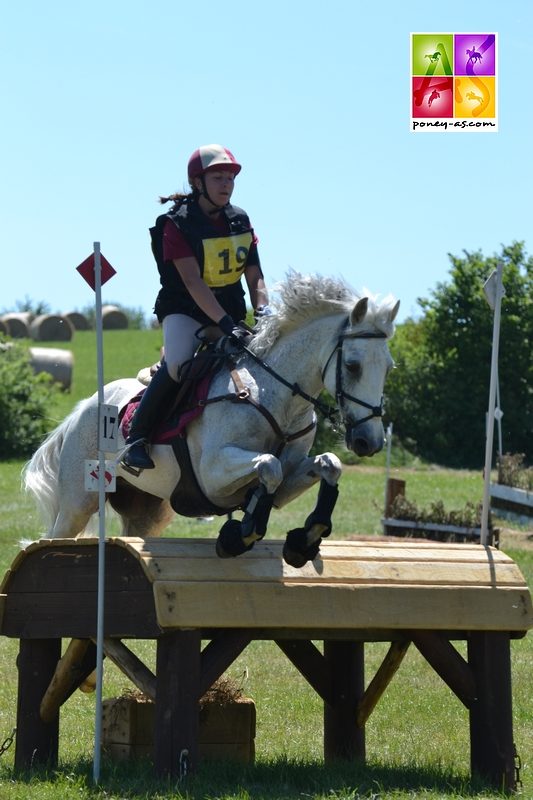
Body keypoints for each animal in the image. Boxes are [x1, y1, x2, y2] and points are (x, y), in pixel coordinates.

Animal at [23, 276, 400, 568]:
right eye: (352, 365)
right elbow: (270, 465)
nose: (370, 441)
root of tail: (82, 408)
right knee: (52, 536)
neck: (276, 395)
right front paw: (238, 537)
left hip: (147, 513)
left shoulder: (288, 477)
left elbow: (328, 465)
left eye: (389, 367)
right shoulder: (213, 474)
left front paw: (305, 539)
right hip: (78, 502)